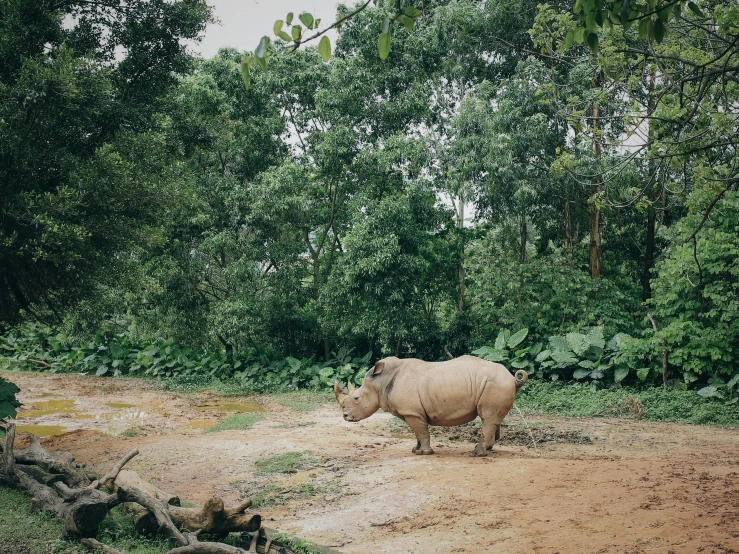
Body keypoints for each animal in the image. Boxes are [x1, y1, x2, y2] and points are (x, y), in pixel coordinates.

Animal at [332, 356, 528, 454]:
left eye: (356, 398)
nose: (345, 417)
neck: (380, 382)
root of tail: (512, 378)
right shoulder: (412, 412)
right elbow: (417, 433)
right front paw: (415, 450)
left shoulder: (412, 412)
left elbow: (422, 432)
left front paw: (425, 453)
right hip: (495, 384)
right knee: (492, 419)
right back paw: (487, 449)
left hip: (496, 383)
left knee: (487, 418)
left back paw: (477, 453)